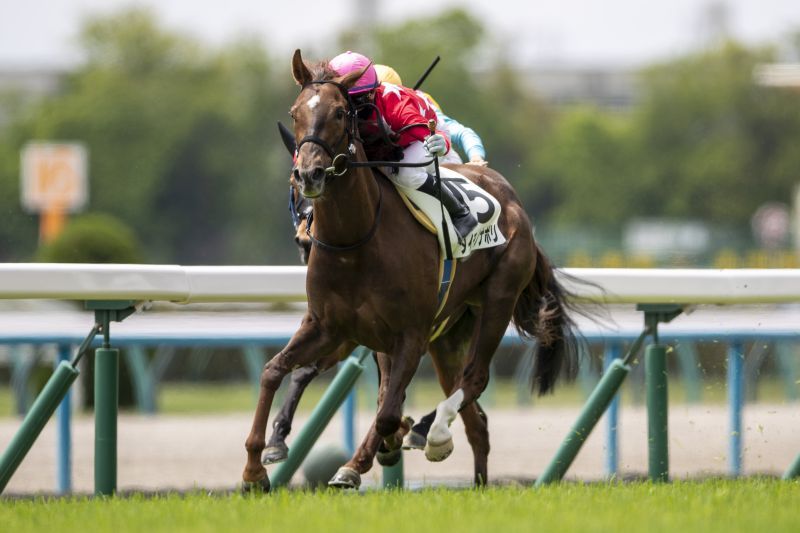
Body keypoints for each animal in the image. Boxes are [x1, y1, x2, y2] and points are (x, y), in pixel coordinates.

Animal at [242, 49, 581, 491]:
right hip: (450, 333)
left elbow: (387, 411)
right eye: (295, 111)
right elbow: (276, 371)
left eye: (339, 113)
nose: (310, 173)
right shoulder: (328, 326)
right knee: (476, 420)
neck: (357, 242)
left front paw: (377, 451)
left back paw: (431, 434)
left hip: (497, 299)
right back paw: (464, 470)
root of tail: (512, 200)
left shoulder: (409, 333)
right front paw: (256, 467)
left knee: (474, 379)